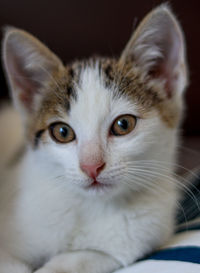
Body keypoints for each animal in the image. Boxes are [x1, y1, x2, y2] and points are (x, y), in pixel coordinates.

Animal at [0, 4, 188, 272]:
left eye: (123, 124)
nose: (91, 166)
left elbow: (77, 260)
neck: (89, 207)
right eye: (62, 132)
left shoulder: (129, 241)